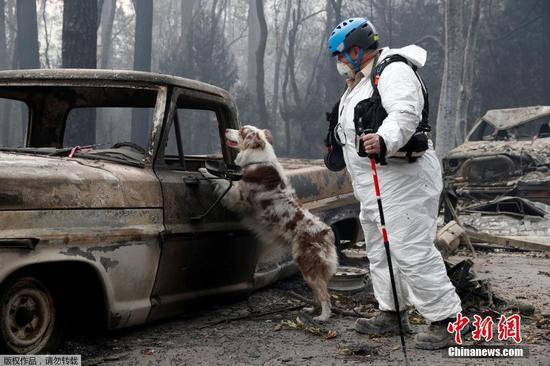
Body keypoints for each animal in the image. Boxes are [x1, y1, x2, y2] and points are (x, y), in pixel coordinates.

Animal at [201, 125, 338, 320]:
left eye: (241, 130)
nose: (226, 129)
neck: (257, 157)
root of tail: (327, 232)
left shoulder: (238, 197)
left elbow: (223, 180)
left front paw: (204, 171)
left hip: (308, 266)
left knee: (325, 295)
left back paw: (323, 317)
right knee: (318, 294)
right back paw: (311, 309)